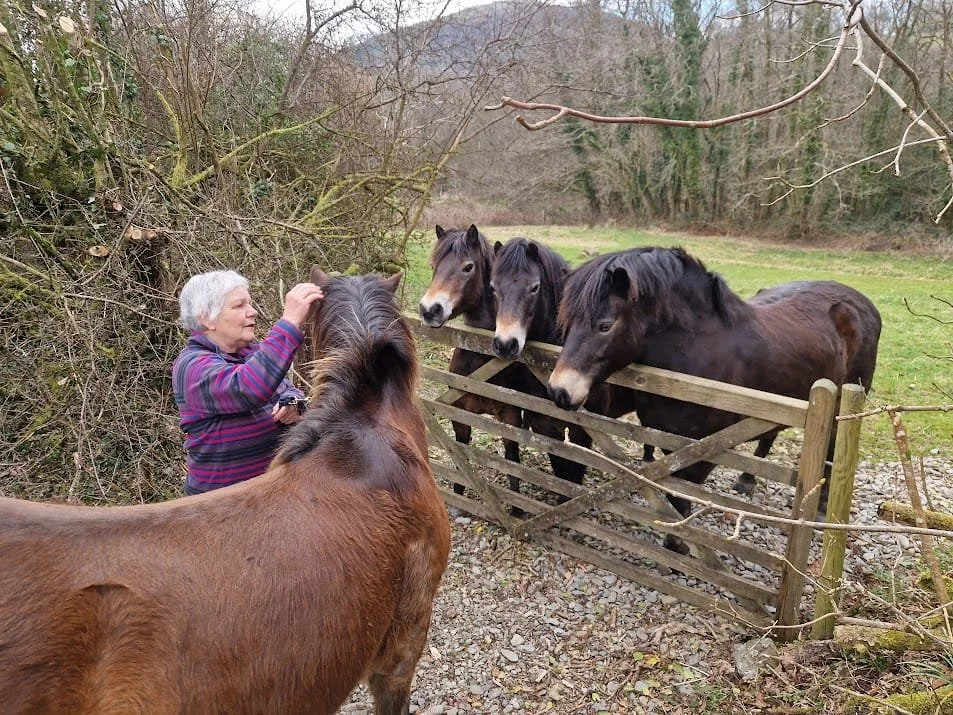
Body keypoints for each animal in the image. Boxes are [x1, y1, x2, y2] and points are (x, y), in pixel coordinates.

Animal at [547, 246, 881, 550]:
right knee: (768, 437)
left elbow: (682, 499)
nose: (558, 391)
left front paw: (679, 547)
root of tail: (862, 302)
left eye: (605, 326)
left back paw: (822, 509)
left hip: (842, 404)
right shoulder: (666, 440)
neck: (695, 357)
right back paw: (746, 481)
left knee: (833, 449)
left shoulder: (704, 450)